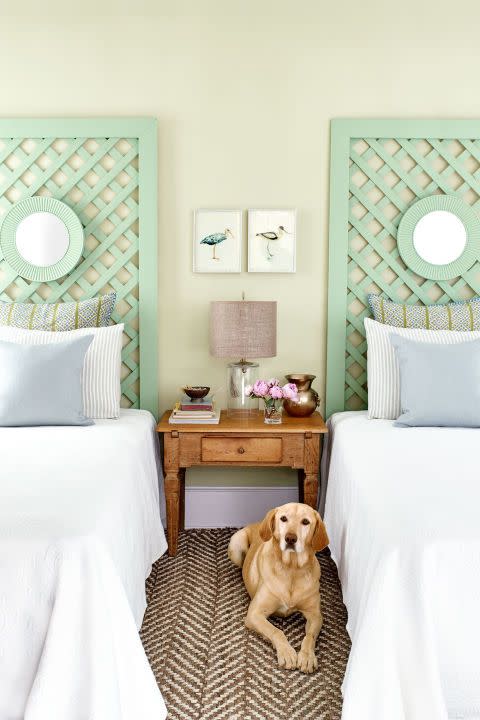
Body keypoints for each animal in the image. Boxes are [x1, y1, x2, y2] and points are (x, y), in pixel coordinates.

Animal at [228, 504, 326, 672]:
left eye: (305, 522)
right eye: (283, 518)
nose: (290, 538)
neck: (292, 569)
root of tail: (257, 523)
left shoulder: (315, 615)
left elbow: (309, 636)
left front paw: (307, 656)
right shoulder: (254, 614)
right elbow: (276, 631)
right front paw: (286, 652)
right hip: (235, 545)